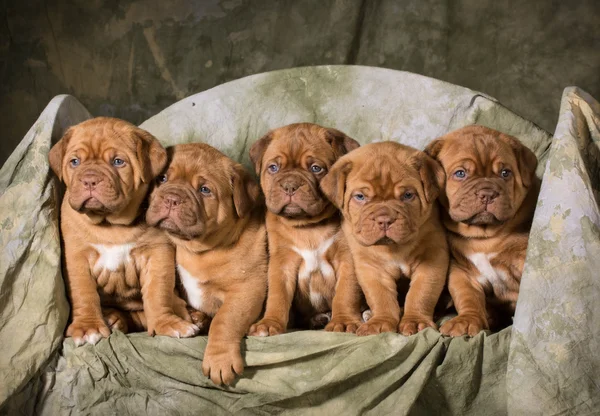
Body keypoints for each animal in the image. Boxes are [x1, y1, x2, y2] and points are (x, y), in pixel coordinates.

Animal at [48, 116, 199, 344]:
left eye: (118, 162)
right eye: (75, 162)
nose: (89, 180)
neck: (111, 226)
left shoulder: (157, 253)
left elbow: (158, 292)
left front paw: (166, 323)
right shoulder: (76, 256)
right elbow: (84, 293)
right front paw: (87, 326)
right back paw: (113, 318)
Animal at [145, 144, 268, 386]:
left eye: (204, 190)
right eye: (162, 178)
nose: (172, 197)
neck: (198, 250)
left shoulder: (246, 289)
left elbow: (225, 320)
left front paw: (220, 360)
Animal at [246, 122, 364, 334]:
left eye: (316, 168)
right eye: (273, 168)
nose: (290, 185)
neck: (307, 226)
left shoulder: (347, 259)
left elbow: (346, 293)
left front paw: (343, 321)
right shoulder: (281, 263)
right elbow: (277, 296)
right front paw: (269, 323)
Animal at [322, 141, 448, 336]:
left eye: (407, 195)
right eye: (360, 197)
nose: (385, 220)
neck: (395, 248)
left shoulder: (432, 258)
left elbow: (421, 294)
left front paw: (415, 321)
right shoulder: (371, 267)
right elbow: (381, 298)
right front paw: (380, 322)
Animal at [424, 125, 540, 336]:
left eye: (505, 173)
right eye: (460, 173)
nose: (488, 193)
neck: (484, 236)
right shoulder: (462, 272)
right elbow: (468, 297)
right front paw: (467, 320)